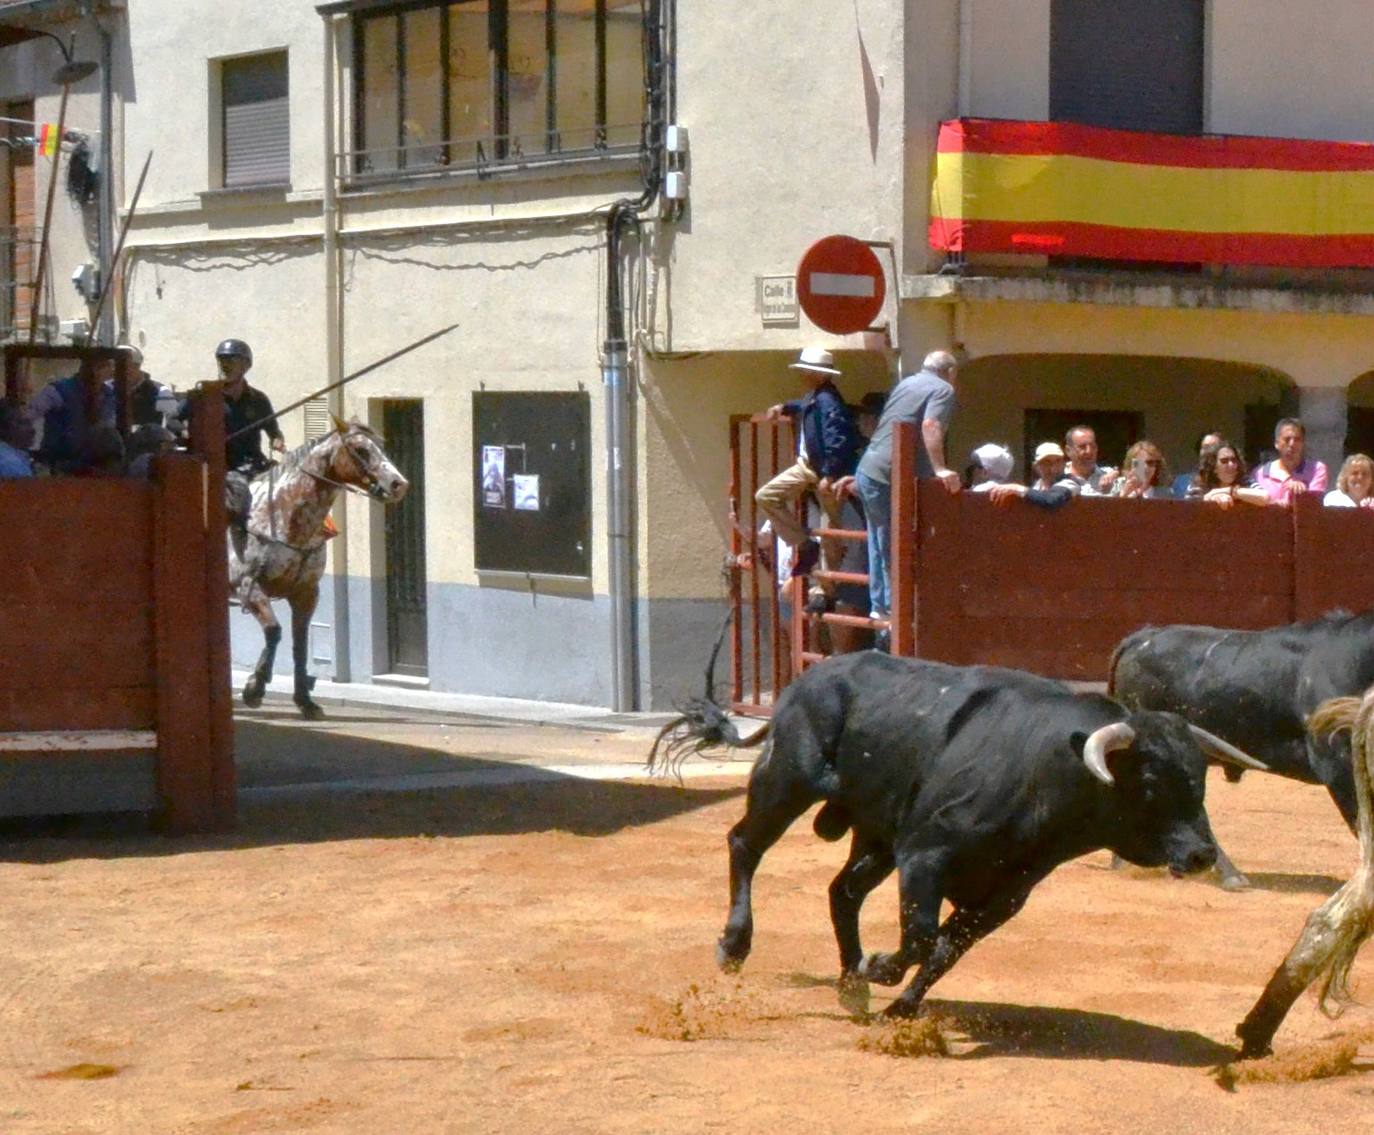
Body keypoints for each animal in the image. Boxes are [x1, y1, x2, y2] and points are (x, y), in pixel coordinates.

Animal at [229, 414, 406, 714]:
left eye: (380, 446)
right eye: (361, 450)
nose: (398, 484)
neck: (281, 516)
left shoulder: (306, 592)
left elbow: (300, 642)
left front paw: (304, 700)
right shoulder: (249, 589)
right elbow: (274, 631)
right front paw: (255, 686)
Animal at [648, 651, 1258, 1011]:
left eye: (1200, 779)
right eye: (1151, 783)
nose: (1202, 855)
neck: (1041, 776)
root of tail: (806, 679)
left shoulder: (1005, 895)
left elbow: (946, 951)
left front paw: (901, 1006)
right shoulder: (925, 856)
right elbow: (921, 935)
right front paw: (883, 969)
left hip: (874, 835)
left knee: (843, 892)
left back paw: (851, 984)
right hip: (787, 779)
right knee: (745, 844)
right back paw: (735, 946)